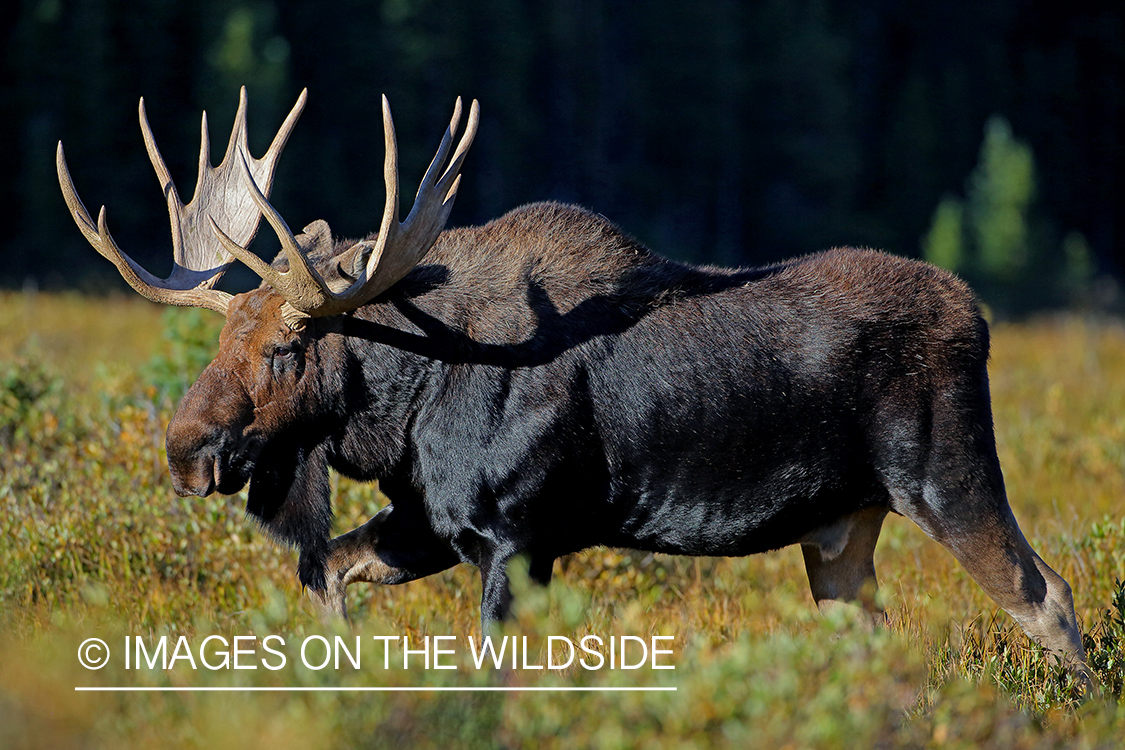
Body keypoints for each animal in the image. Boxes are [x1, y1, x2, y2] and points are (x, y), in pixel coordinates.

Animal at [57, 89, 1084, 674]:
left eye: (283, 347)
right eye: (219, 338)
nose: (185, 452)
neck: (404, 403)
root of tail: (979, 317)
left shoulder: (517, 537)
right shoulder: (431, 522)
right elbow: (324, 571)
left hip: (946, 480)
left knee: (1047, 598)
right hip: (839, 534)